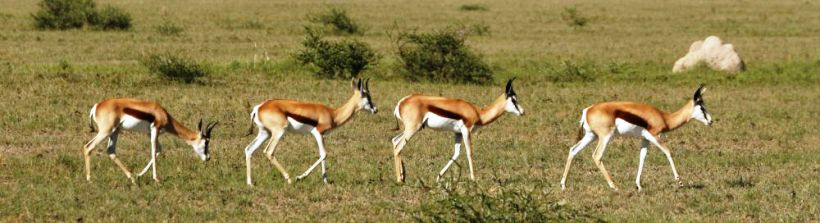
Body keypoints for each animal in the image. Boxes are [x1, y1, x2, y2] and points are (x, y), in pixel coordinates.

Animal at [83, 98, 218, 184]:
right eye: (206, 142)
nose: (208, 158)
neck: (163, 114)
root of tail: (96, 106)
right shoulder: (155, 130)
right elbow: (153, 151)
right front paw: (156, 179)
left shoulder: (149, 133)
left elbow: (159, 151)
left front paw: (139, 175)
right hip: (106, 131)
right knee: (88, 147)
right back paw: (89, 179)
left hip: (114, 131)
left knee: (110, 151)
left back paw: (132, 178)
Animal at [240, 78, 374, 186]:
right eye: (368, 97)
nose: (375, 109)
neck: (332, 114)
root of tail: (259, 107)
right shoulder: (317, 133)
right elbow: (324, 154)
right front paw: (300, 177)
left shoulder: (322, 136)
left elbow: (322, 155)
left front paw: (326, 182)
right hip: (278, 133)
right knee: (269, 152)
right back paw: (289, 179)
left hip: (265, 133)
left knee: (249, 149)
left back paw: (250, 183)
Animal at [390, 79, 524, 183]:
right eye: (513, 100)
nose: (522, 112)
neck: (479, 113)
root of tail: (401, 102)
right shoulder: (466, 131)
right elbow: (469, 153)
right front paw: (473, 179)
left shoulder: (458, 133)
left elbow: (456, 154)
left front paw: (438, 177)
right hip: (413, 129)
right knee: (398, 147)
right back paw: (399, 180)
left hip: (411, 129)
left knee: (395, 141)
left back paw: (403, 176)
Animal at [560, 85, 716, 190]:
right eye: (702, 107)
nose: (711, 121)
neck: (665, 117)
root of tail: (587, 110)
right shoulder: (654, 136)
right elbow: (668, 152)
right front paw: (680, 181)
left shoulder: (645, 139)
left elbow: (642, 157)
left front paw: (638, 185)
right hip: (605, 137)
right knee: (597, 156)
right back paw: (614, 186)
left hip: (591, 136)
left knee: (573, 150)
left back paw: (563, 184)